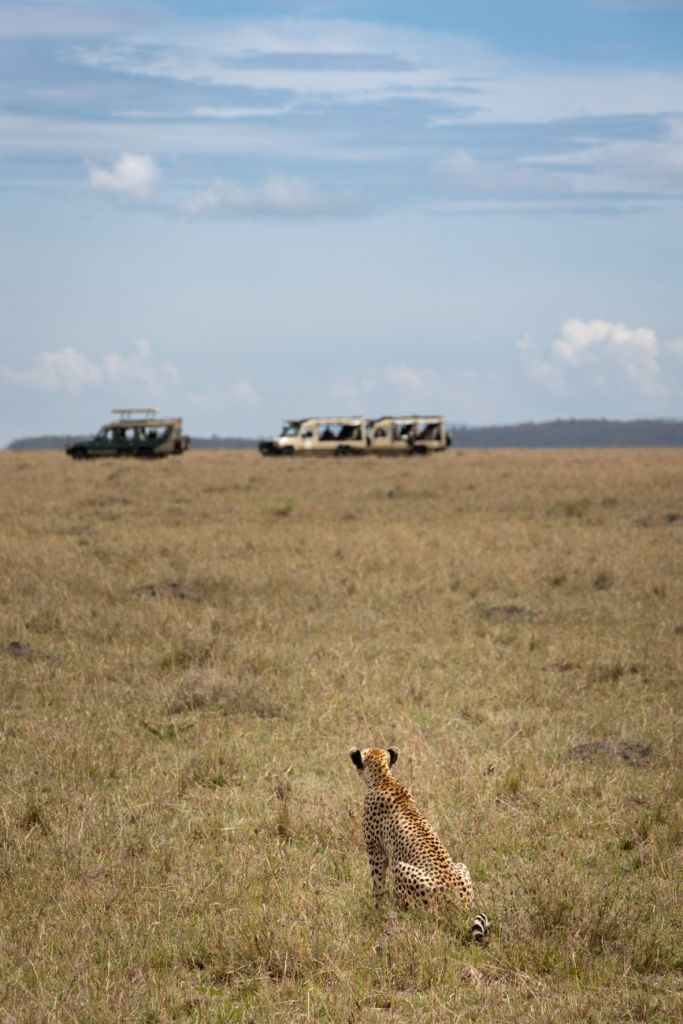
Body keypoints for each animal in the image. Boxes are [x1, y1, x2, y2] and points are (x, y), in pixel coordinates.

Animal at [349, 745, 489, 942]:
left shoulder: (375, 852)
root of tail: (460, 907)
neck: (384, 779)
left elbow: (378, 884)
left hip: (401, 869)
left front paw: (376, 910)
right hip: (461, 866)